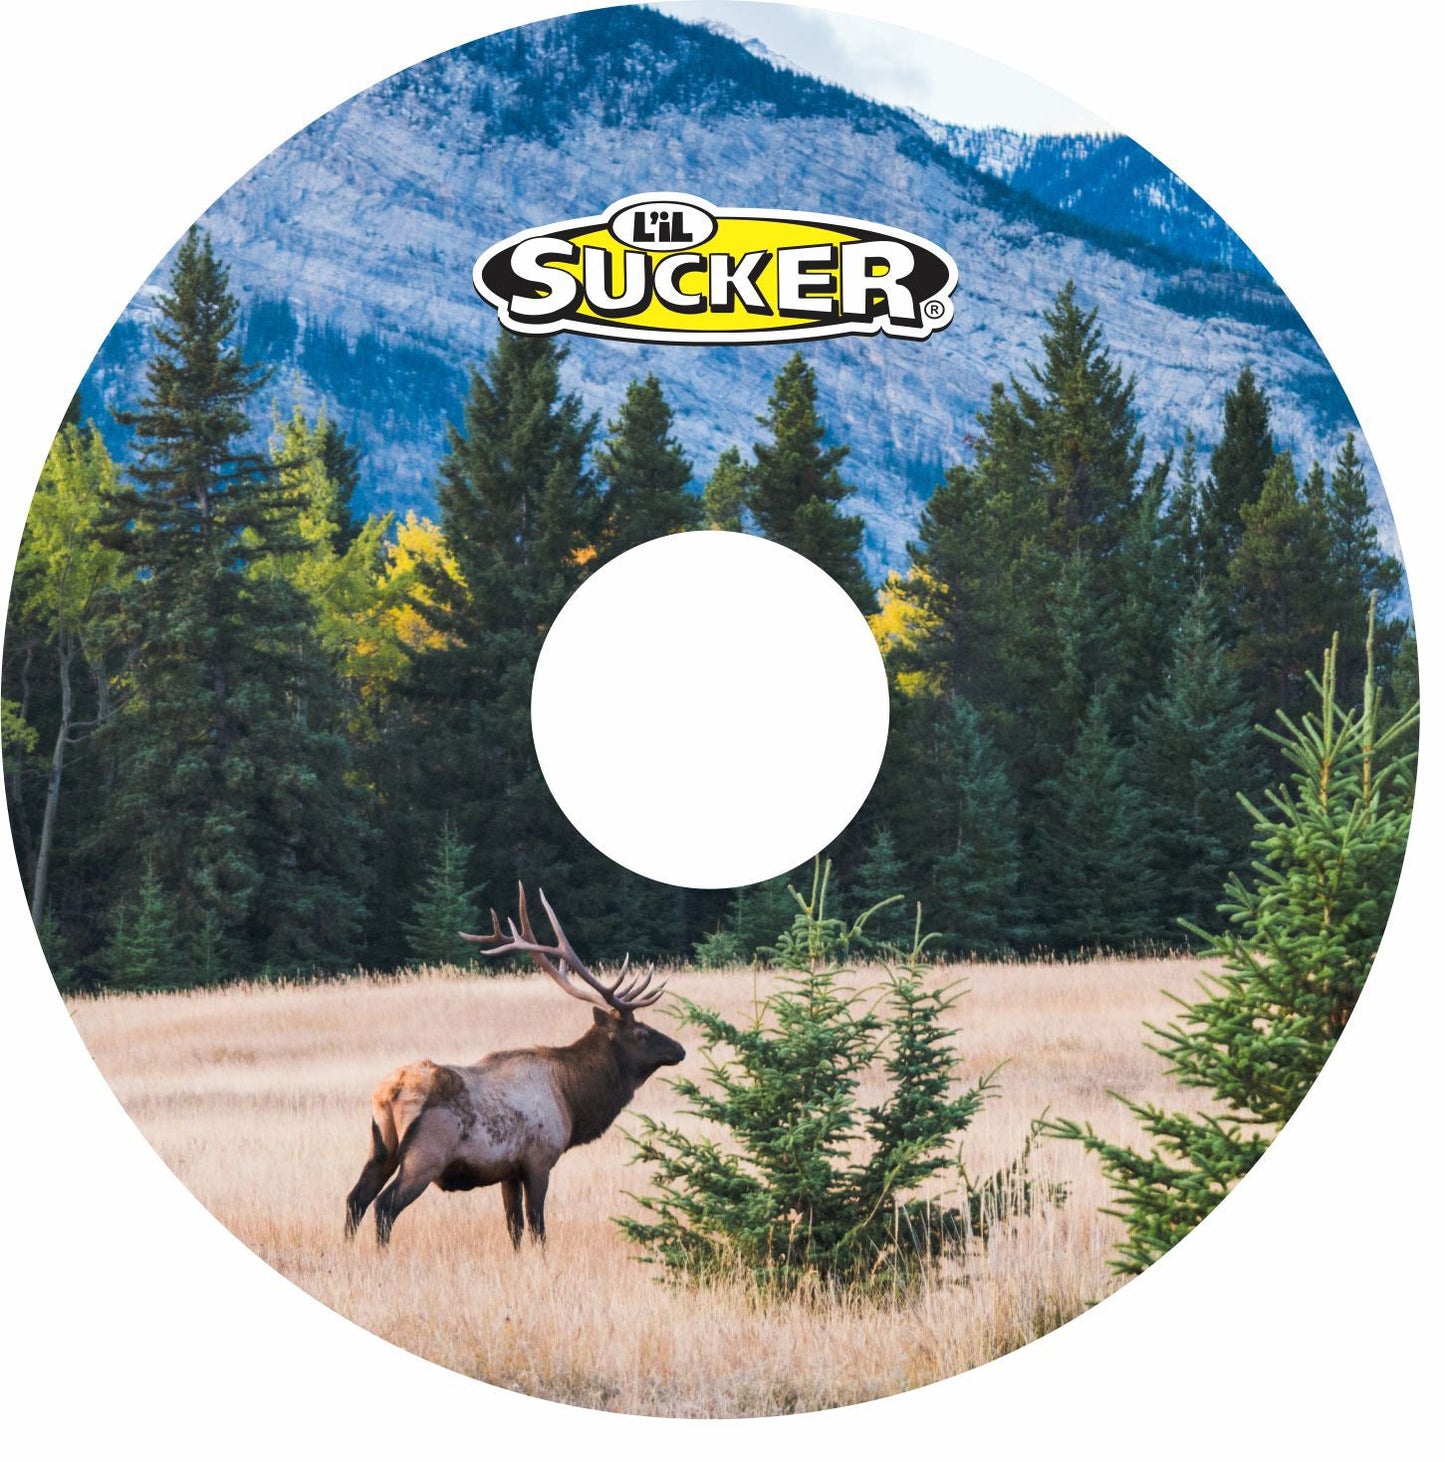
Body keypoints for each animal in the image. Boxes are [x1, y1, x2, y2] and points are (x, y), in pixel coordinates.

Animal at [344, 885, 685, 1248]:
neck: (572, 1099)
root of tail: (389, 1092)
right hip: (425, 1154)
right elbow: (537, 1227)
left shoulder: (508, 1172)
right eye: (641, 1033)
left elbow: (514, 1228)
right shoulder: (538, 1161)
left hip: (380, 1147)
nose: (679, 1049)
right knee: (384, 1205)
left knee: (355, 1198)